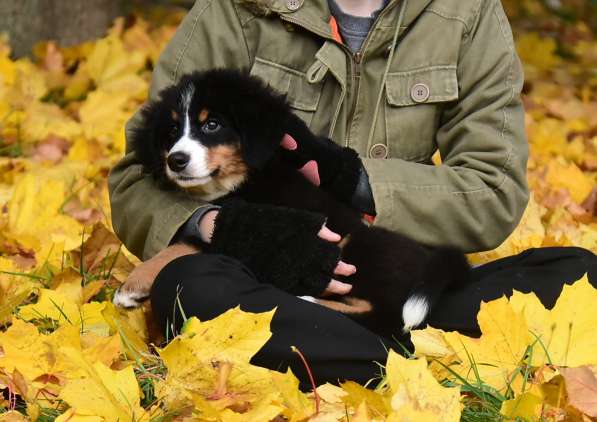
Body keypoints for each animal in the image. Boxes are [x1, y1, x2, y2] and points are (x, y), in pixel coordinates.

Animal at [115, 70, 470, 340]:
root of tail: (431, 262)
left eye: (212, 124)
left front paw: (129, 287)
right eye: (173, 130)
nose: (176, 160)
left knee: (384, 320)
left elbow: (182, 246)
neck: (235, 181)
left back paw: (308, 297)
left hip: (358, 248)